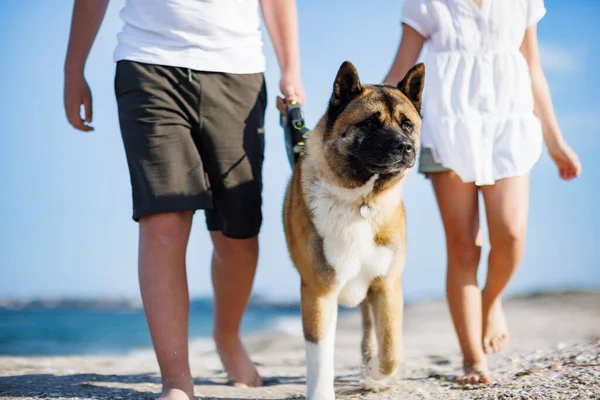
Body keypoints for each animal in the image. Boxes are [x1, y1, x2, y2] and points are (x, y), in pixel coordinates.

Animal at [284, 60, 424, 400]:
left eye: (407, 125)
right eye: (371, 123)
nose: (405, 146)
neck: (361, 200)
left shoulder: (386, 285)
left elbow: (392, 350)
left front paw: (374, 373)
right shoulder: (318, 290)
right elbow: (320, 353)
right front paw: (321, 394)